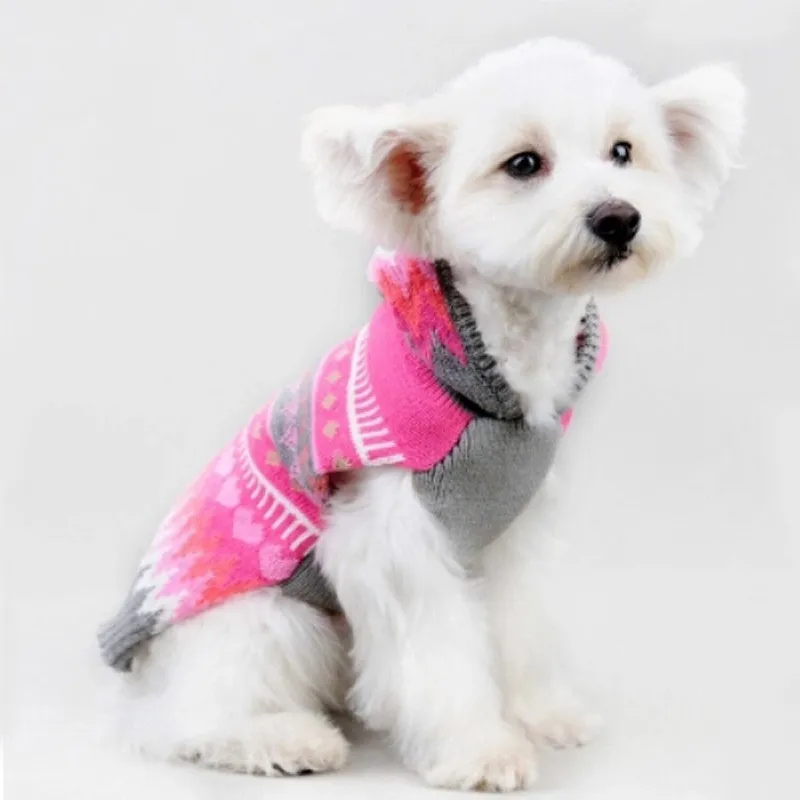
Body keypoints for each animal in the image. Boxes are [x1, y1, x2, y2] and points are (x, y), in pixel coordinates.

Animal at [103, 38, 745, 791]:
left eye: (624, 151)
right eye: (523, 163)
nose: (618, 216)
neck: (499, 372)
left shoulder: (511, 532)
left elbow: (520, 626)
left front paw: (541, 713)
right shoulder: (391, 539)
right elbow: (438, 656)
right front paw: (480, 748)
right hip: (269, 623)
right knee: (184, 722)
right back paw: (284, 738)